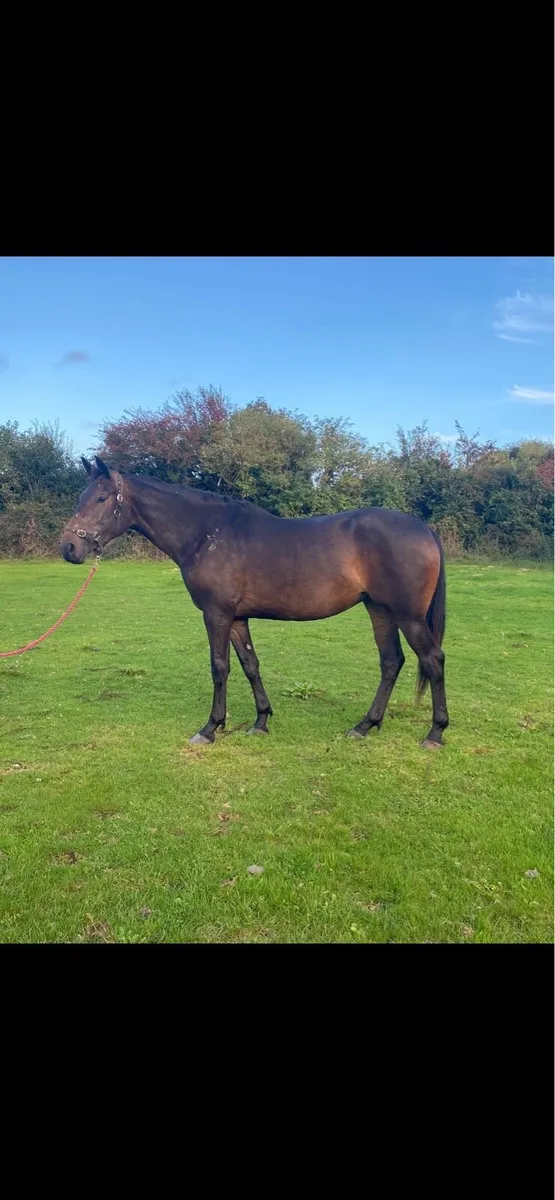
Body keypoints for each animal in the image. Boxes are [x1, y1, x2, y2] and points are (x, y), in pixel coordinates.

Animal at [61, 456, 448, 750]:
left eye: (100, 499)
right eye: (82, 496)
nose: (69, 548)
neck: (206, 534)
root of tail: (425, 529)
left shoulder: (216, 615)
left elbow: (219, 668)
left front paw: (210, 728)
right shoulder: (236, 618)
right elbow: (250, 665)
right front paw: (261, 721)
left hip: (408, 616)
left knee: (433, 660)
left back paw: (435, 733)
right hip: (379, 610)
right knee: (391, 662)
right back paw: (365, 725)